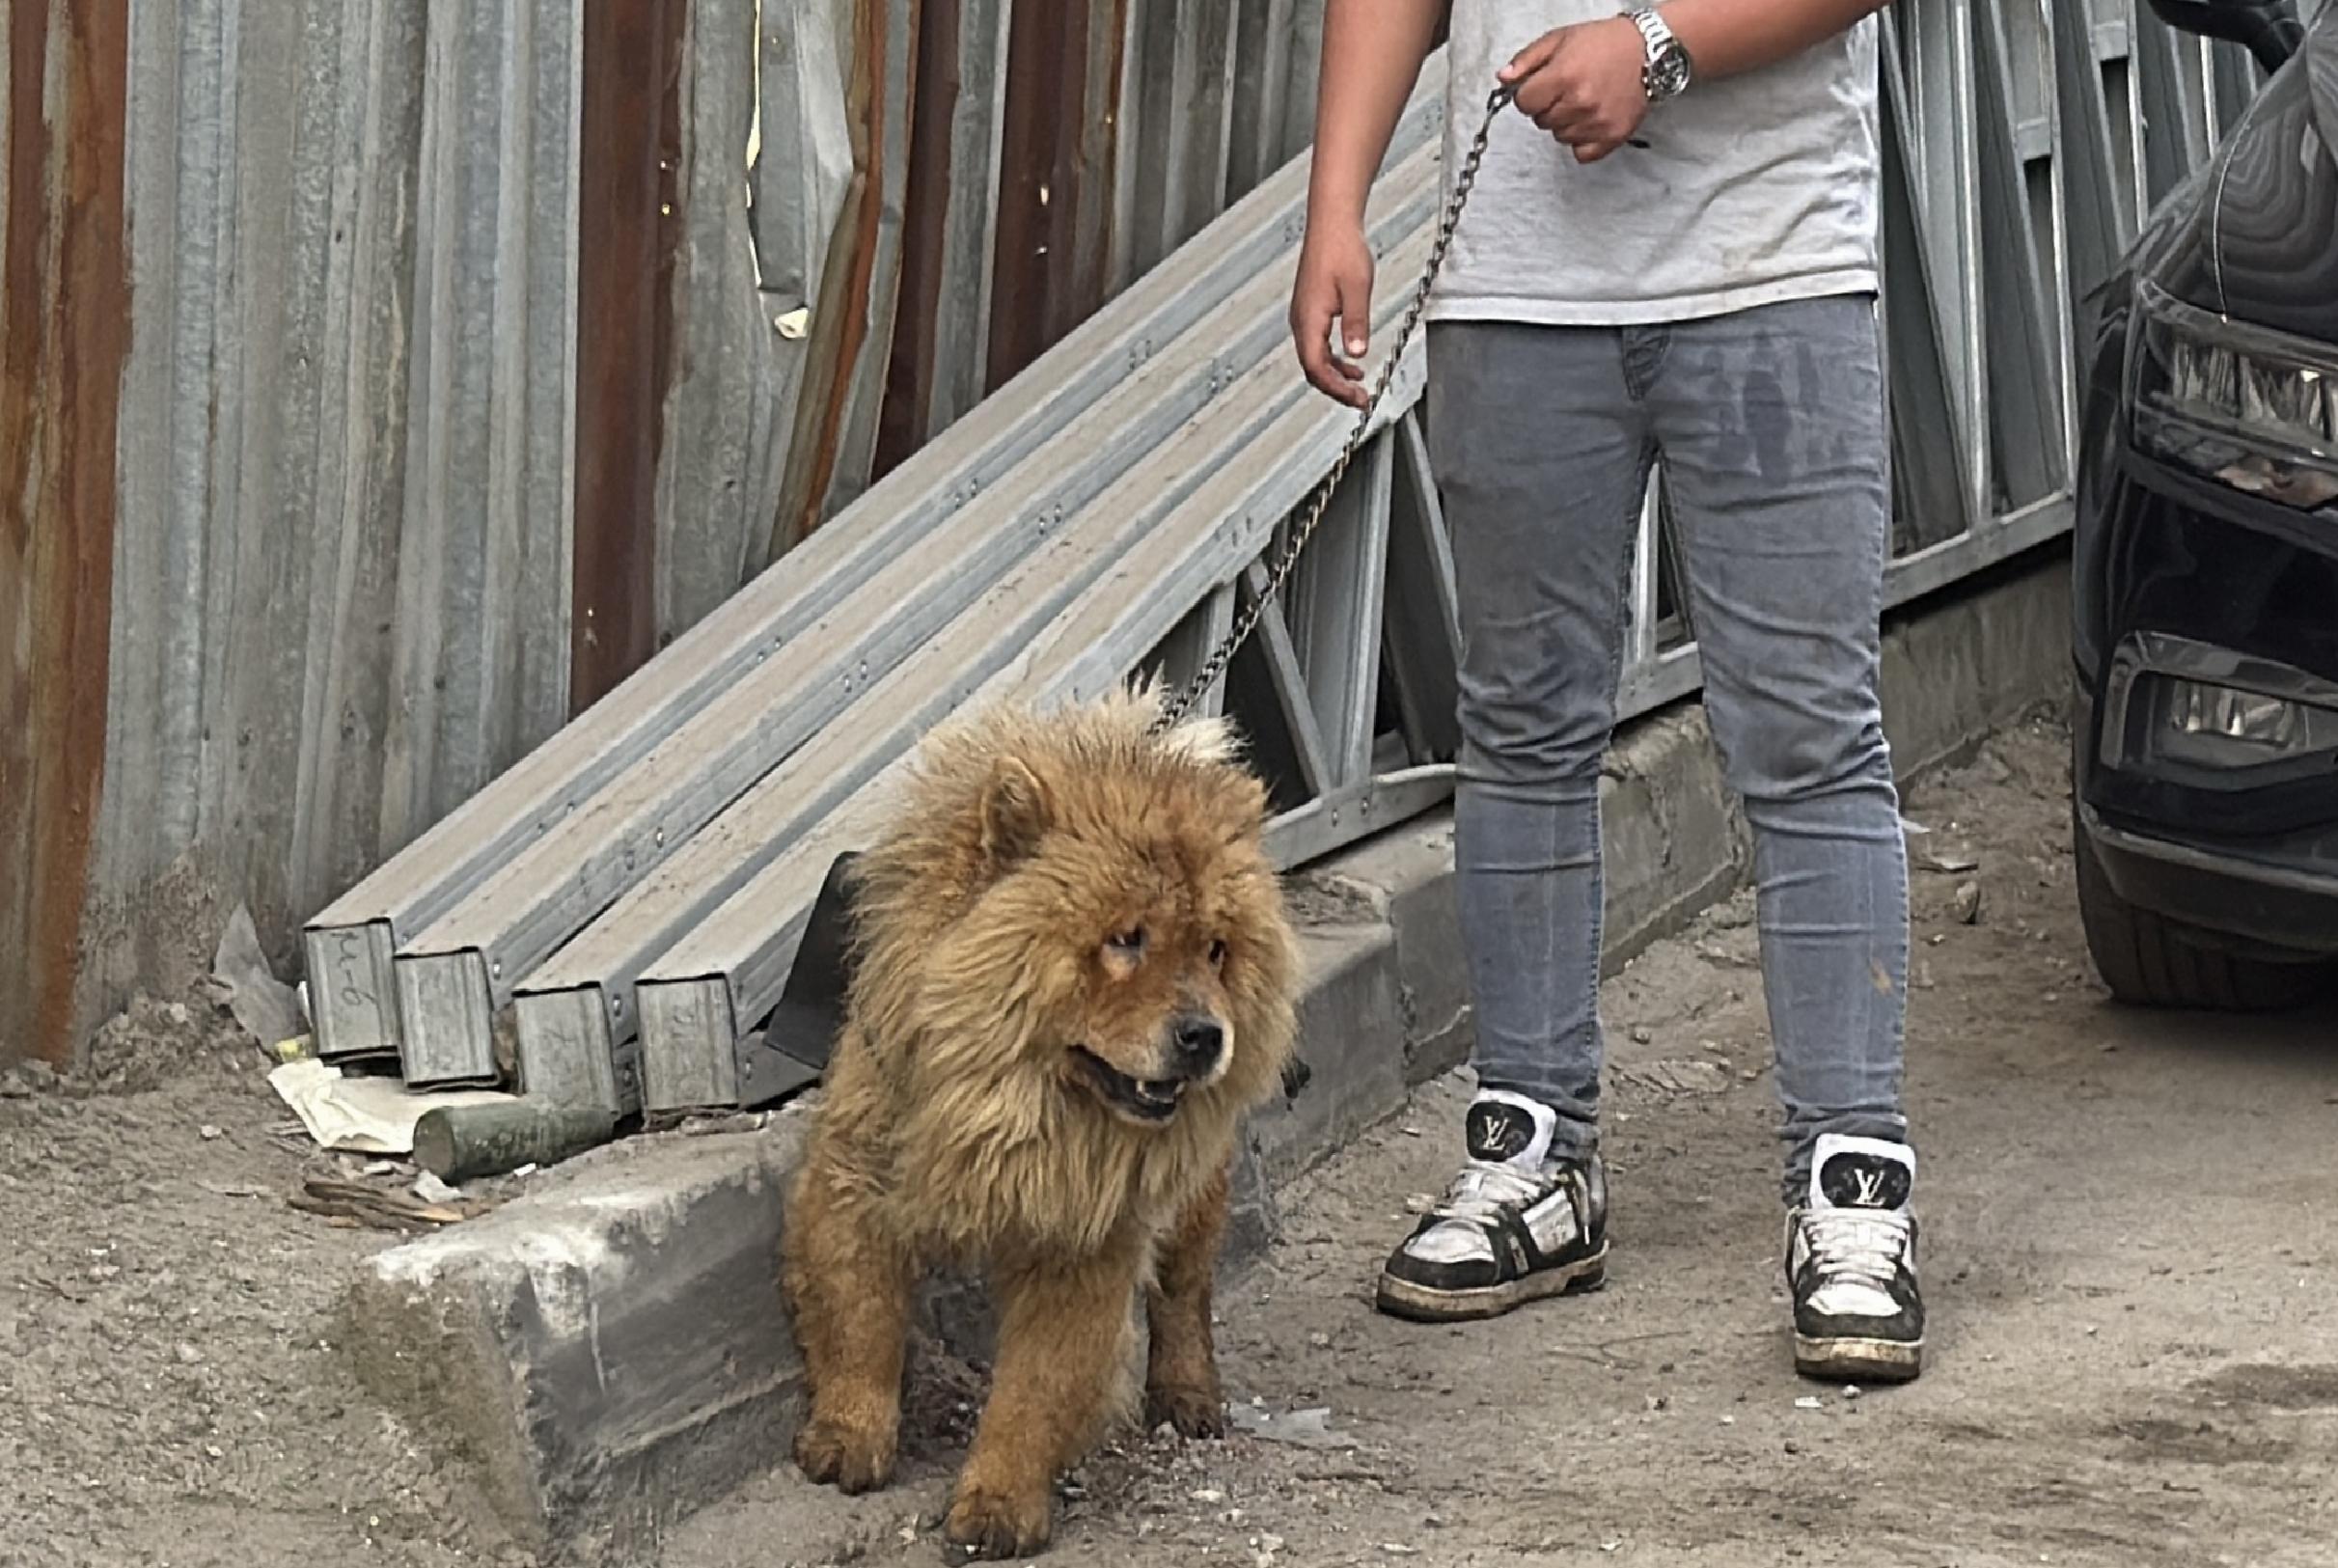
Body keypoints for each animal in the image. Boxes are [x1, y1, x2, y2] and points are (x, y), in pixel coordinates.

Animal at [781, 686, 1300, 1560]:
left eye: (1215, 950)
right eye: (1125, 939)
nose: (1205, 1035)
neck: (1019, 1101)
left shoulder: (1082, 1241)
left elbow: (1034, 1389)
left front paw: (998, 1504)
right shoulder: (859, 1182)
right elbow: (860, 1319)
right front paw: (848, 1437)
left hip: (1194, 1194)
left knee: (1184, 1292)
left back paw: (1189, 1396)